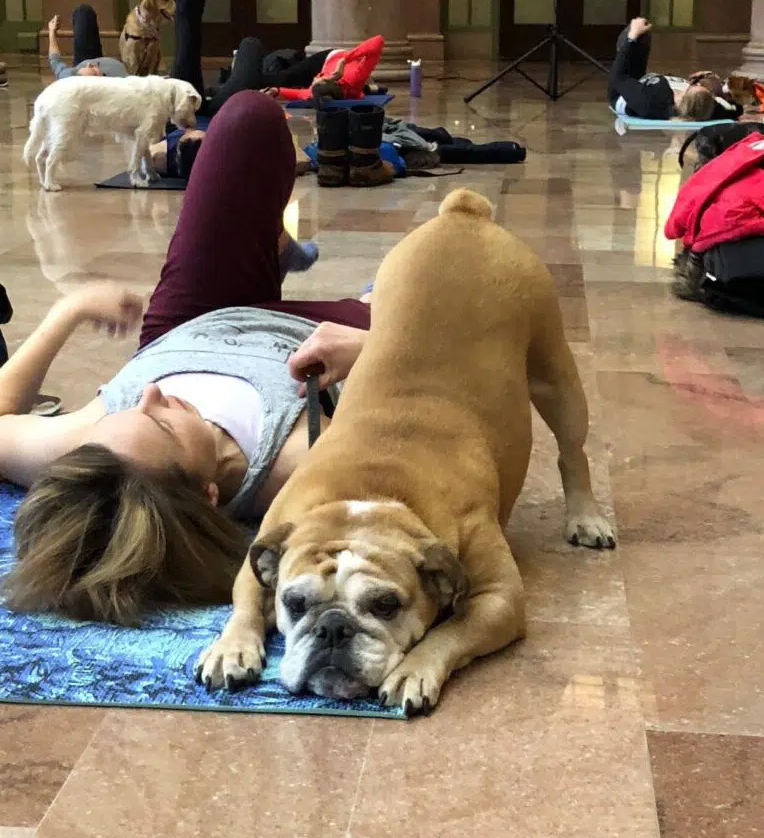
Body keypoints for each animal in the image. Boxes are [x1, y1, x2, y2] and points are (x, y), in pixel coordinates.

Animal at [23, 76, 201, 192]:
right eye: (194, 107)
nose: (194, 125)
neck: (169, 92)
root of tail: (43, 99)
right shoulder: (142, 135)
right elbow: (136, 163)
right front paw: (138, 182)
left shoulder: (140, 138)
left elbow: (147, 157)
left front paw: (152, 175)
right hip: (65, 135)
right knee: (50, 160)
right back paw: (51, 185)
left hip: (52, 135)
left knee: (40, 158)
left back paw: (44, 182)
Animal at [195, 189, 616, 716]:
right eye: (294, 603)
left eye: (385, 605)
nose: (332, 628)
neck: (373, 490)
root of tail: (464, 211)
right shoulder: (269, 544)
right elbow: (246, 598)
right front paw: (231, 645)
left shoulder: (499, 598)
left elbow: (450, 632)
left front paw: (414, 671)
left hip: (554, 372)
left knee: (572, 449)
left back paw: (586, 518)